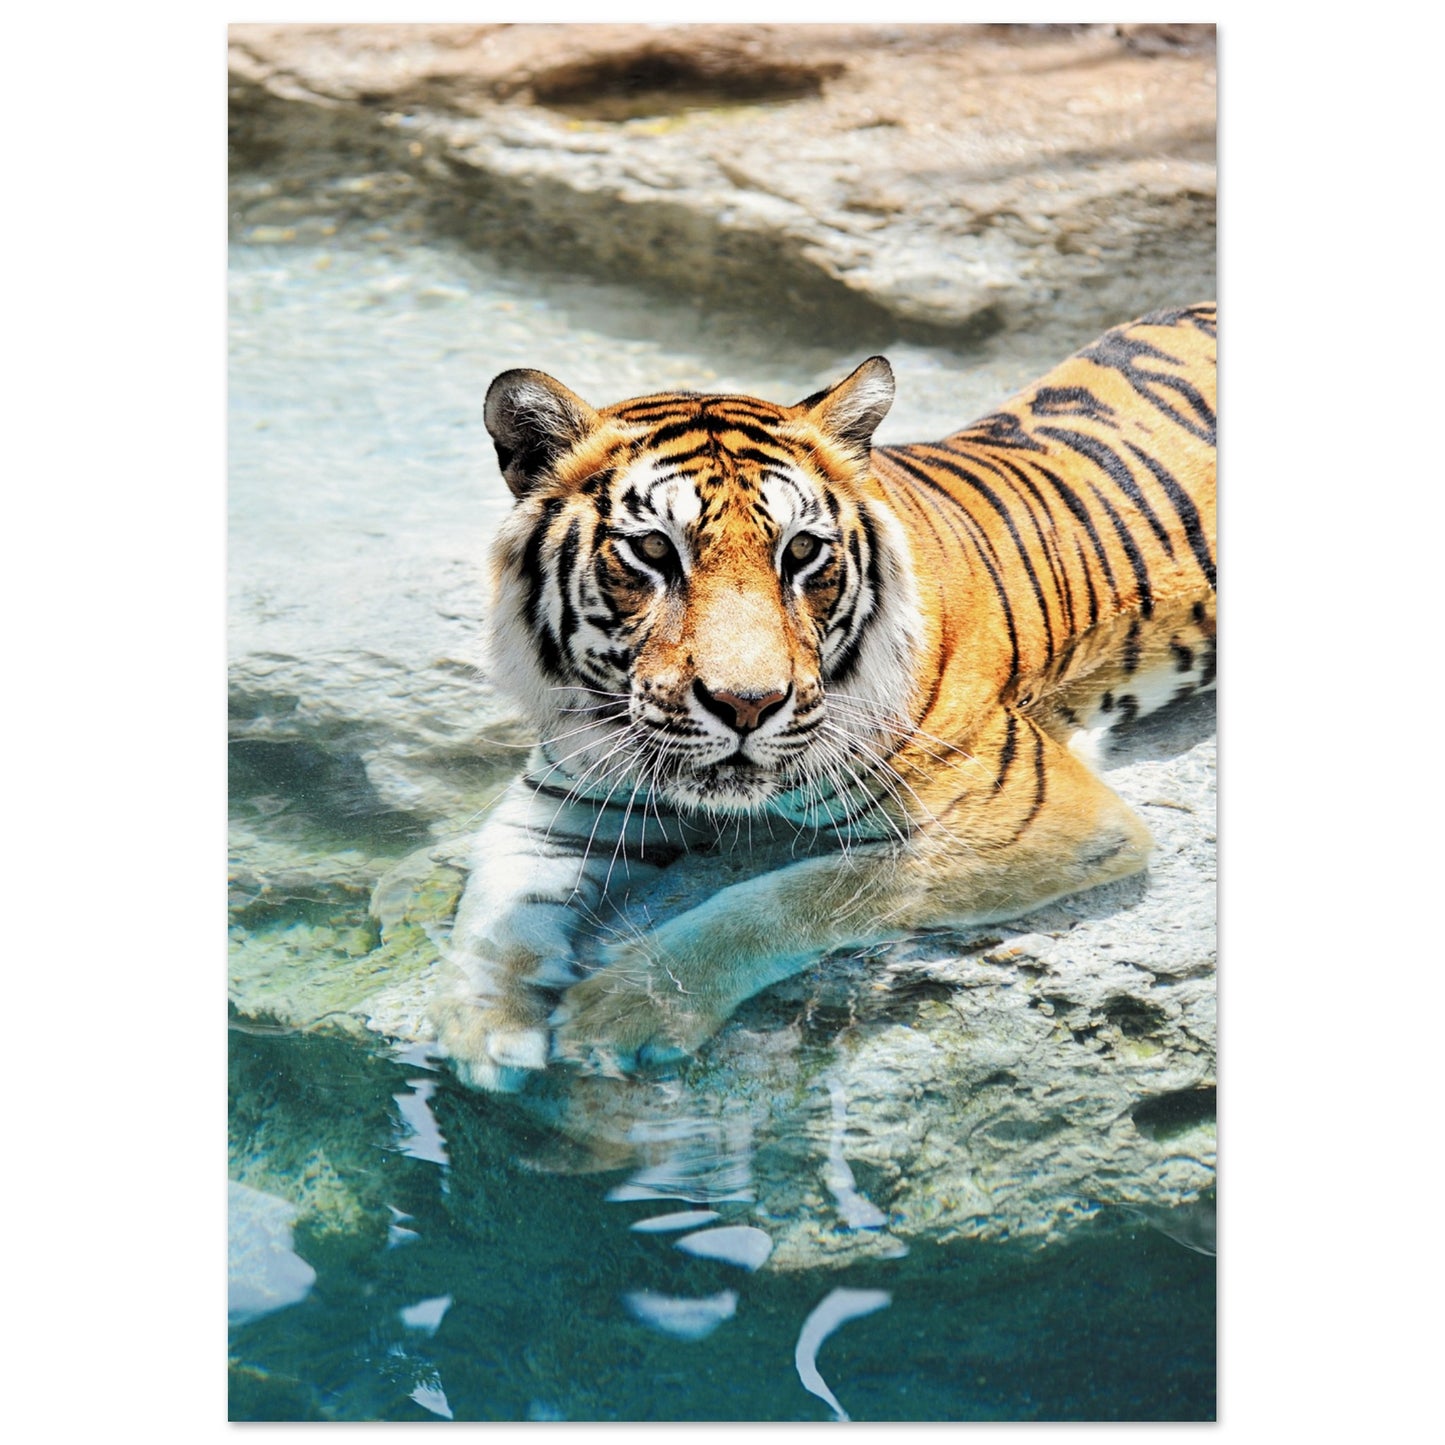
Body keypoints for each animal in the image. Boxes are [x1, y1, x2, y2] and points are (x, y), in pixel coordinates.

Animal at [432, 302, 1217, 1091]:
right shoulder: (563, 799)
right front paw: (483, 1030)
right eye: (653, 551)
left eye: (801, 551)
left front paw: (627, 1006)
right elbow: (495, 906)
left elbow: (790, 896)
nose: (746, 704)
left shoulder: (1036, 817)